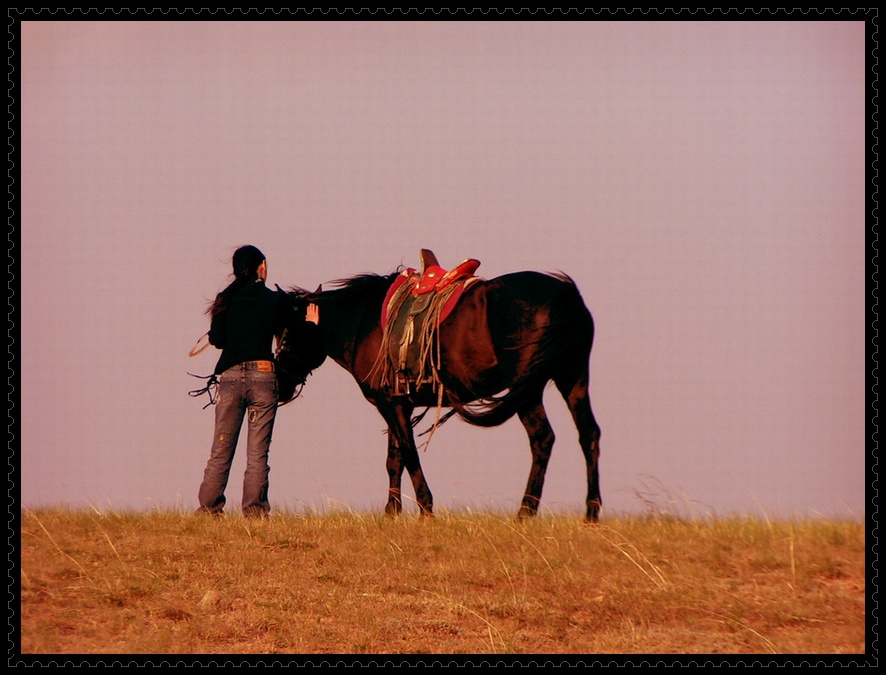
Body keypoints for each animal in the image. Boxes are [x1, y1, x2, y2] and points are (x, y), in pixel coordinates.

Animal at [280, 262, 608, 520]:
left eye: (284, 334)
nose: (281, 387)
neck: (362, 321)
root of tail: (566, 294)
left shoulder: (391, 404)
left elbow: (408, 454)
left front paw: (425, 509)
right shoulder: (399, 404)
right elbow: (394, 459)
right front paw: (392, 512)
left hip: (528, 389)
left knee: (542, 438)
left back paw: (525, 512)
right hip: (573, 379)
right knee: (588, 434)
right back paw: (590, 512)